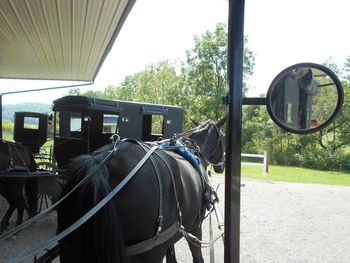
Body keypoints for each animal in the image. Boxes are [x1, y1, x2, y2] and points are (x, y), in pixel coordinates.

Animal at [56, 119, 227, 263]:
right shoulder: (195, 227)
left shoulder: (172, 236)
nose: (221, 166)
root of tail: (101, 163)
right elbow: (197, 256)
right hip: (150, 252)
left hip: (71, 250)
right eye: (223, 138)